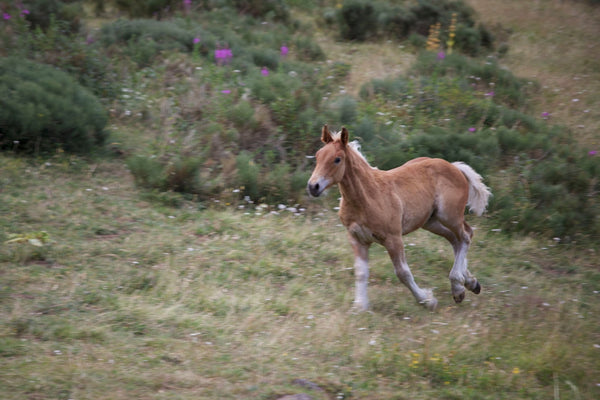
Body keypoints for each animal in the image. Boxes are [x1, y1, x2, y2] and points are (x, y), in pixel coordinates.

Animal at [308, 125, 490, 310]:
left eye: (337, 159)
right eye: (318, 156)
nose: (313, 186)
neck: (368, 196)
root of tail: (454, 166)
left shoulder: (393, 239)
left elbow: (403, 273)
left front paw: (427, 300)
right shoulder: (357, 239)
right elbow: (361, 272)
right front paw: (360, 306)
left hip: (448, 215)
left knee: (466, 236)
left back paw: (458, 285)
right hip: (430, 222)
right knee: (455, 239)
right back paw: (469, 282)